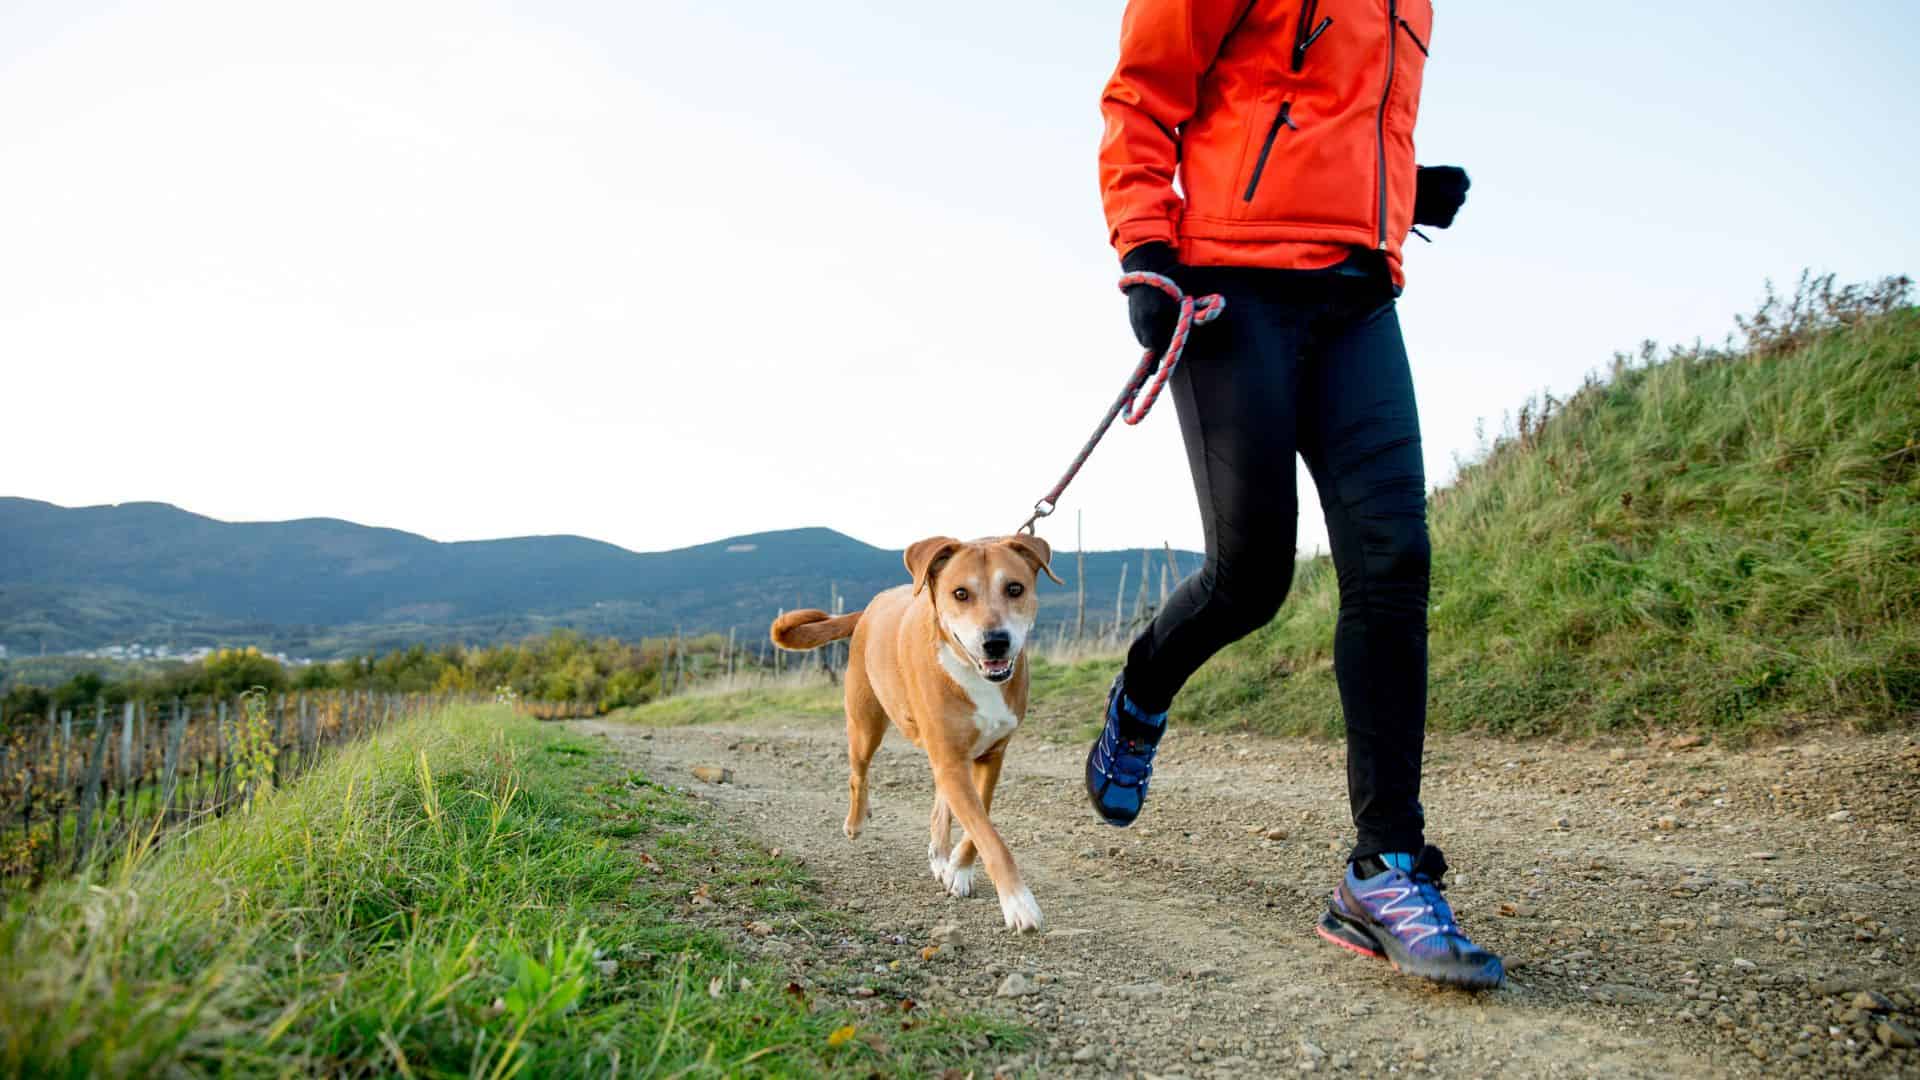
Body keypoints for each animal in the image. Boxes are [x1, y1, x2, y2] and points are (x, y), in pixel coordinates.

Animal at [768, 534, 1067, 930]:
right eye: (960, 593)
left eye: (1015, 588)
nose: (996, 641)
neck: (972, 673)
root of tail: (871, 606)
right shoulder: (952, 760)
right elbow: (989, 836)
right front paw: (1019, 902)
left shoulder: (990, 756)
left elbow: (978, 823)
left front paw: (959, 868)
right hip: (865, 725)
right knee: (858, 774)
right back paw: (856, 822)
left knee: (940, 802)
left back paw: (941, 856)